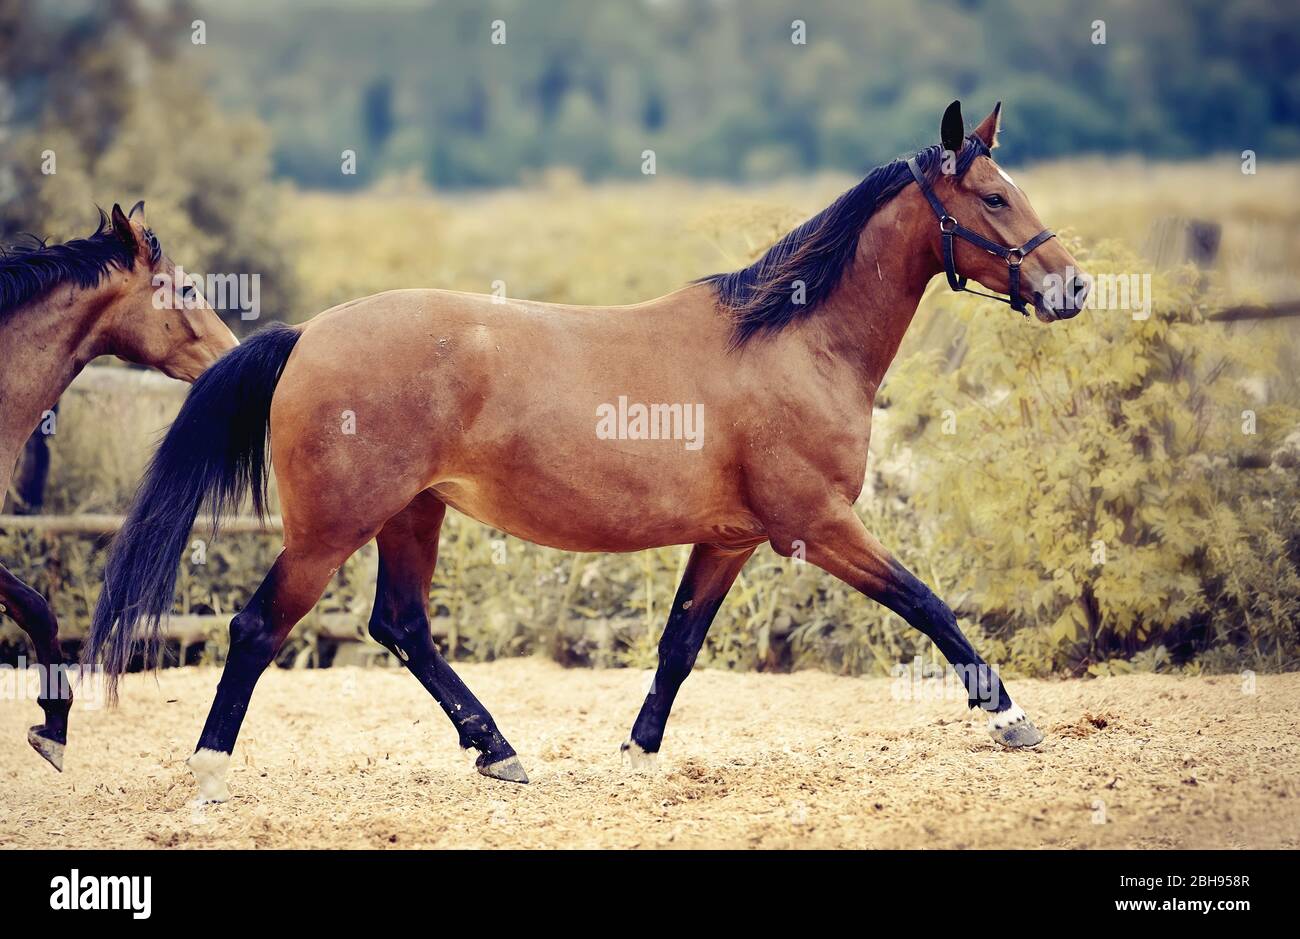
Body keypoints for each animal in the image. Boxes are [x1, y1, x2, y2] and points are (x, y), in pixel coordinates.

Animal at [88, 101, 1090, 803]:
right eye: (995, 196)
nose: (1074, 286)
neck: (792, 341)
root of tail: (306, 337)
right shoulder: (817, 523)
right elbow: (928, 602)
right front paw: (1012, 717)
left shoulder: (728, 538)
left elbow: (678, 645)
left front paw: (638, 754)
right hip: (331, 529)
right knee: (261, 627)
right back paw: (211, 772)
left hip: (413, 513)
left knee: (402, 626)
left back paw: (499, 752)